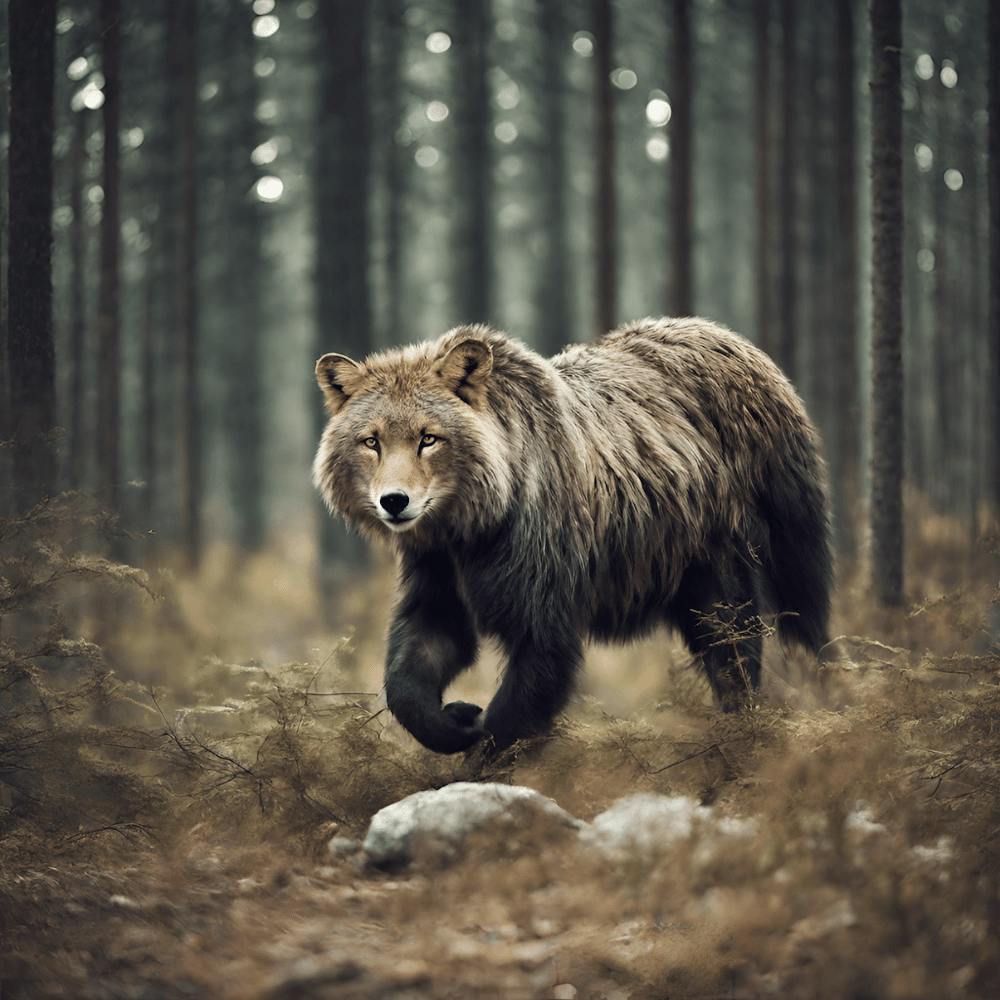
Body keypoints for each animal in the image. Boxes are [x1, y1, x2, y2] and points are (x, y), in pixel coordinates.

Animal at [313, 317, 832, 755]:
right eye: (371, 440)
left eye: (428, 437)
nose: (394, 501)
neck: (478, 522)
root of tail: (729, 335)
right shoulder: (439, 567)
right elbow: (422, 650)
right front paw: (454, 719)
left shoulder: (541, 562)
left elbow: (539, 662)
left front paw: (487, 738)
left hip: (751, 520)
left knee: (766, 618)